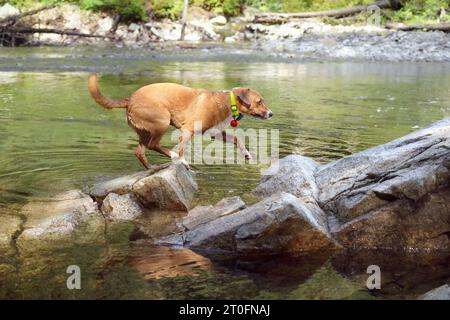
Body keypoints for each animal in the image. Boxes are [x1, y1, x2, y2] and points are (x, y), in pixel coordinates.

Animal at [87, 74, 270, 169]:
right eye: (259, 101)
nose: (271, 113)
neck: (227, 102)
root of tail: (130, 98)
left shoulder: (215, 132)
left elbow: (237, 139)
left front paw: (246, 154)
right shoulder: (187, 130)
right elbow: (182, 148)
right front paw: (183, 161)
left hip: (145, 132)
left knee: (140, 151)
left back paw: (151, 168)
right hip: (162, 120)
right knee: (153, 145)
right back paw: (173, 156)